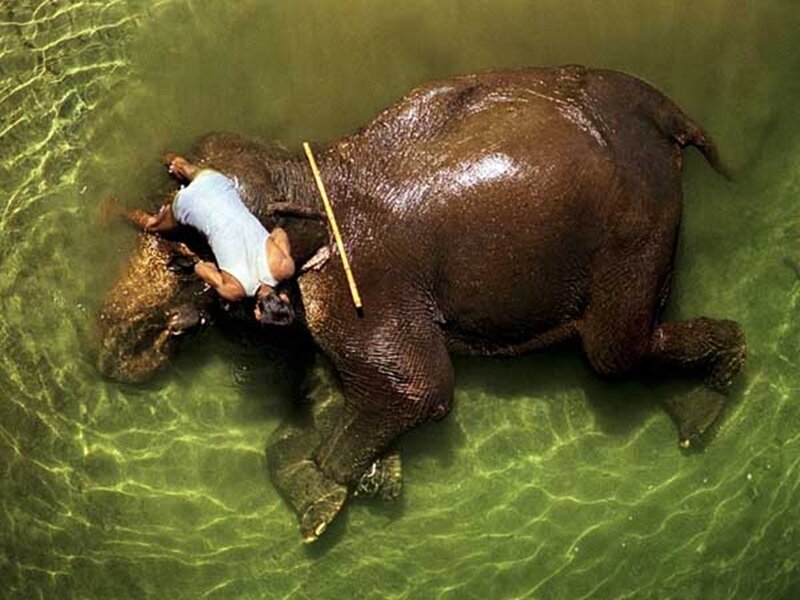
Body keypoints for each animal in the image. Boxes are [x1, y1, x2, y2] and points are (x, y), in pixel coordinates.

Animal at [97, 65, 746, 542]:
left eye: (185, 260)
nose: (110, 355)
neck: (309, 172)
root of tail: (664, 112)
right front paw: (372, 481)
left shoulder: (359, 282)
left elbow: (419, 388)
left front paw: (340, 488)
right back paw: (694, 417)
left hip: (637, 220)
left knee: (613, 352)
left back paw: (715, 389)